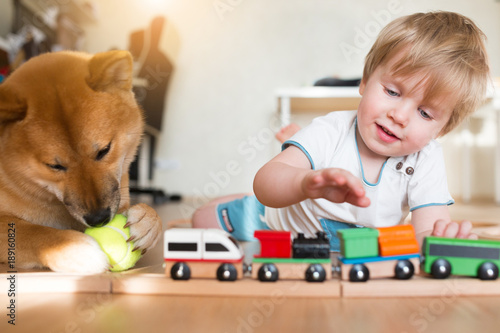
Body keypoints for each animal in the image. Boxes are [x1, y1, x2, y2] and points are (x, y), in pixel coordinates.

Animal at [0, 50, 161, 272]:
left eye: (104, 150)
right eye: (55, 166)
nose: (98, 219)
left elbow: (154, 216)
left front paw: (147, 221)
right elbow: (32, 232)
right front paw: (72, 247)